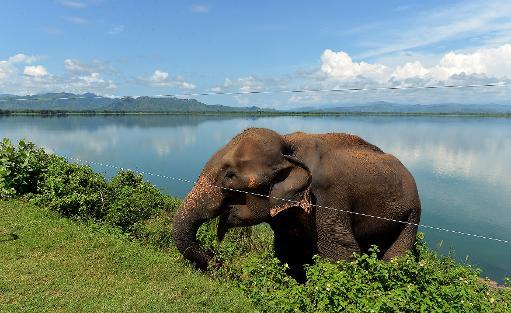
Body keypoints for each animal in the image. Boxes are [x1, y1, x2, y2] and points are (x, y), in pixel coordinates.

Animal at [172, 127, 420, 278]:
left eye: (230, 176)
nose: (218, 260)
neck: (288, 143)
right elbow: (287, 248)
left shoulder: (328, 198)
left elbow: (341, 253)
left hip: (413, 214)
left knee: (396, 255)